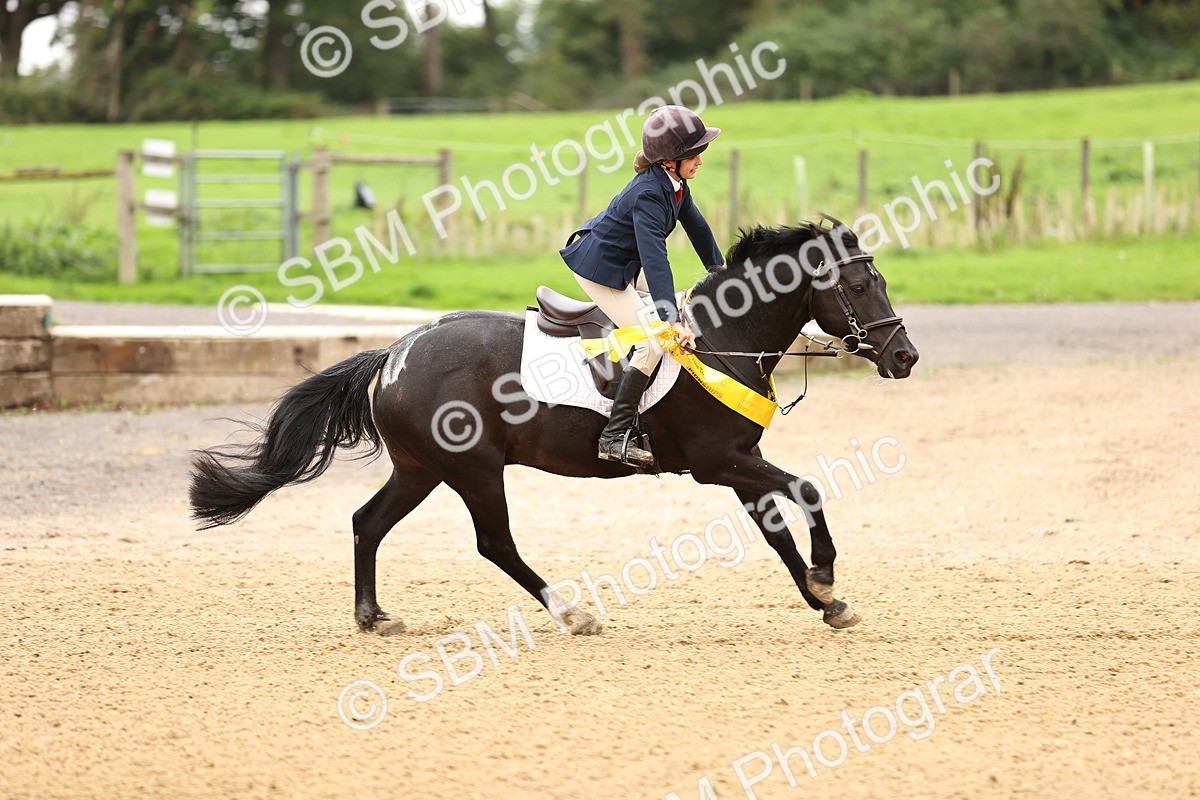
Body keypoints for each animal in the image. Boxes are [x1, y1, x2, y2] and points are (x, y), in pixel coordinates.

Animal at [189, 218, 918, 636]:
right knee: (494, 544)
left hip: (422, 469)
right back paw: (572, 613)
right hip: (474, 469)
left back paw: (372, 617)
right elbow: (809, 491)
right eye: (859, 287)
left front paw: (824, 599)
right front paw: (827, 577)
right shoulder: (717, 463)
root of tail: (396, 352)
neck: (724, 338)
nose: (905, 357)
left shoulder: (737, 464)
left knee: (367, 523)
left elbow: (779, 534)